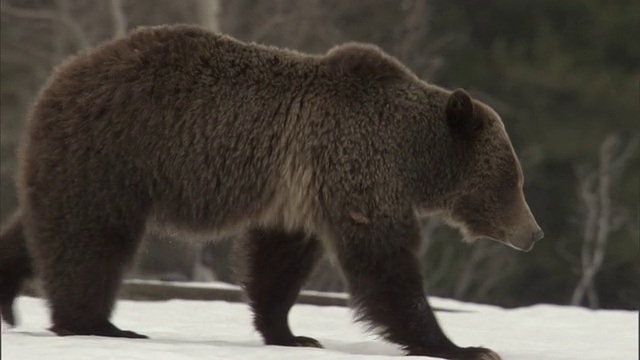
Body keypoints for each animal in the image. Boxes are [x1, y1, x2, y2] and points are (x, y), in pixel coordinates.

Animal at [0, 23, 544, 358]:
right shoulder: (355, 169)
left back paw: (10, 300)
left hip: (86, 159)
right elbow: (385, 265)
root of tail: (64, 72)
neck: (411, 157)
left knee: (43, 225)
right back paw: (97, 322)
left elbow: (278, 265)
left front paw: (291, 333)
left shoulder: (299, 196)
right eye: (513, 180)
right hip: (117, 150)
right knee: (90, 239)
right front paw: (463, 346)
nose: (534, 232)